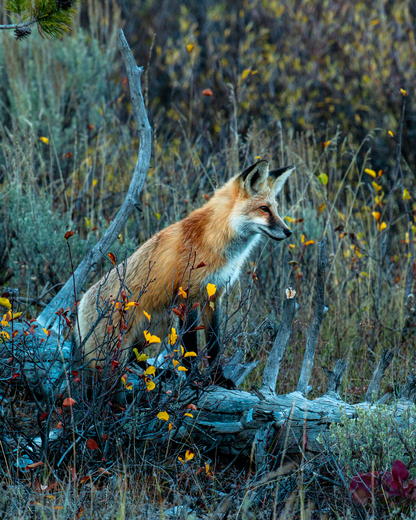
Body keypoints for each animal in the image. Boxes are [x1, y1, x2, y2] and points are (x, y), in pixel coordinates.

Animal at [76, 161, 294, 386]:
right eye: (264, 209)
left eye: (275, 209)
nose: (289, 232)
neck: (215, 242)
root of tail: (80, 304)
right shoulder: (189, 295)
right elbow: (190, 345)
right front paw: (193, 379)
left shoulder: (214, 295)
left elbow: (214, 342)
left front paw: (218, 378)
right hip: (121, 341)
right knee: (117, 367)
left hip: (158, 323)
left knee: (135, 359)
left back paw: (160, 373)